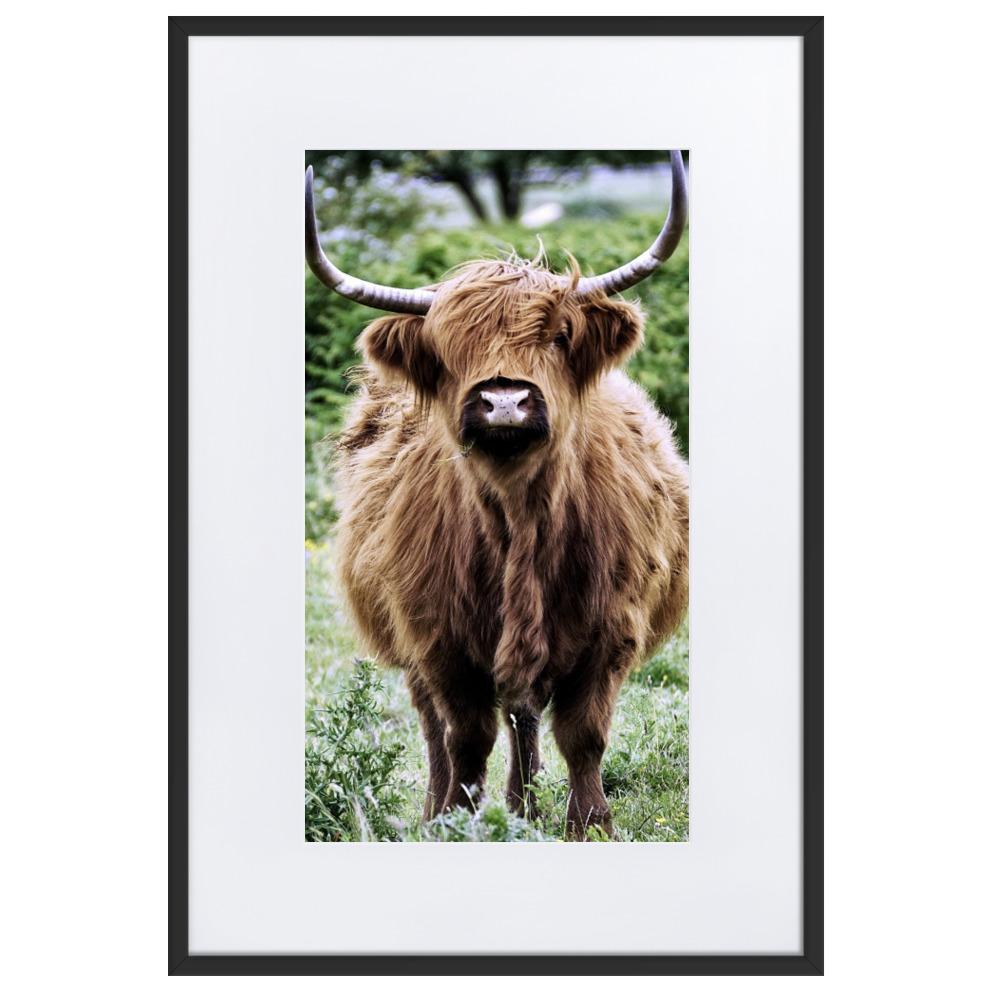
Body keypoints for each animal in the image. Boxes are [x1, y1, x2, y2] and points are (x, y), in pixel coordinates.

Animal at [305, 152, 689, 838]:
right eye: (448, 347)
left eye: (560, 336)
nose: (504, 400)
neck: (520, 518)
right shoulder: (437, 639)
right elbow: (465, 735)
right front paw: (458, 817)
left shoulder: (611, 631)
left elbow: (582, 734)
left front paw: (589, 824)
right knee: (441, 725)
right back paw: (447, 810)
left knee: (524, 715)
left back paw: (524, 805)